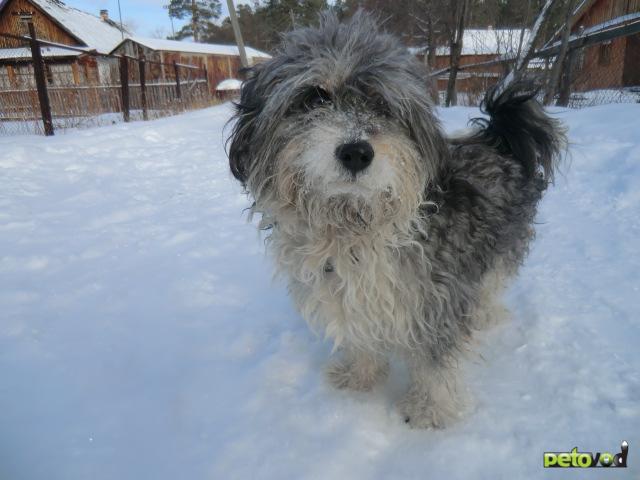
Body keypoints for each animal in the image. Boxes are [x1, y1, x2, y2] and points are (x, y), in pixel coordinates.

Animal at [226, 13, 564, 430]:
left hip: (500, 248)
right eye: (315, 97)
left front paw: (429, 410)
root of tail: (498, 138)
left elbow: (436, 362)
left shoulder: (440, 297)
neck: (355, 226)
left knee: (491, 284)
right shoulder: (345, 292)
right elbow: (360, 337)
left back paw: (485, 314)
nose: (356, 152)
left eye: (382, 104)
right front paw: (360, 376)